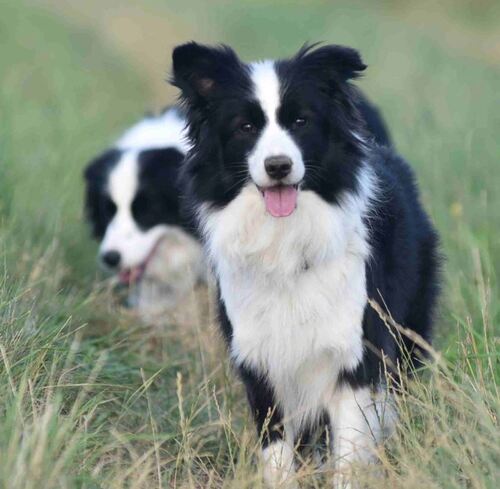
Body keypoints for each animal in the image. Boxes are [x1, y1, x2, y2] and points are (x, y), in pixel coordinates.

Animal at [174, 43, 440, 486]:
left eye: (301, 121)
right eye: (245, 127)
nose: (278, 166)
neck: (285, 245)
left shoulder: (354, 357)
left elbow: (350, 452)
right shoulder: (261, 364)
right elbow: (277, 454)